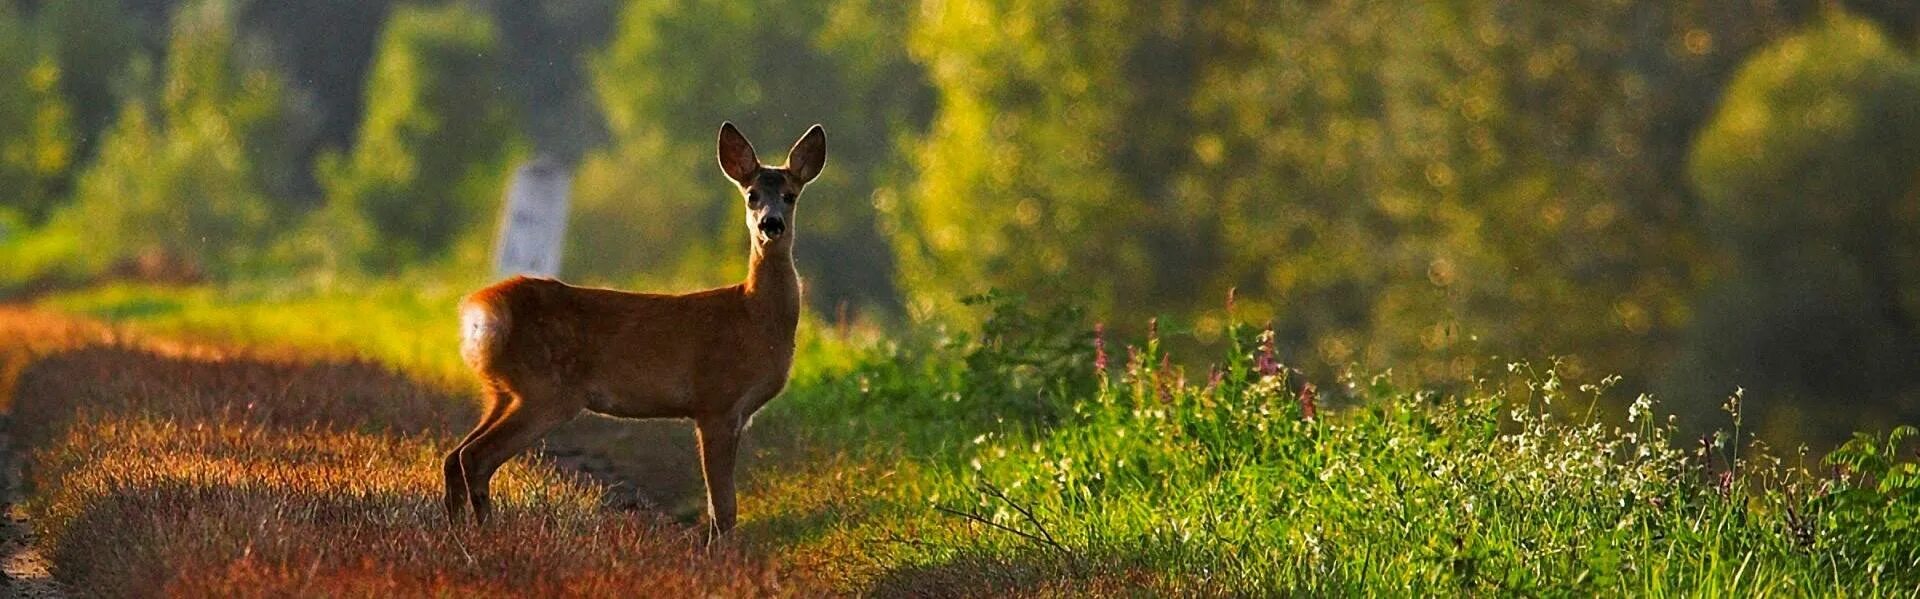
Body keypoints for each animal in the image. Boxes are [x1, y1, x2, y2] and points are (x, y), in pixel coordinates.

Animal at [445, 122, 829, 537]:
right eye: (751, 194)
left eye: (790, 195)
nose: (770, 224)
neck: (755, 316)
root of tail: (482, 310)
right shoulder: (716, 401)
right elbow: (723, 507)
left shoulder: (735, 413)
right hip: (545, 390)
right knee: (476, 456)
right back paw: (485, 531)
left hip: (501, 391)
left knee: (455, 455)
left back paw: (457, 529)